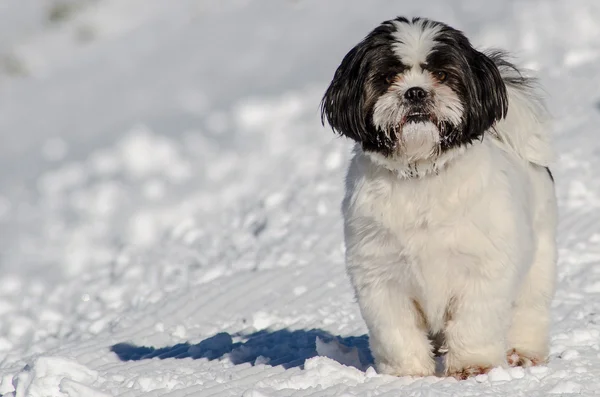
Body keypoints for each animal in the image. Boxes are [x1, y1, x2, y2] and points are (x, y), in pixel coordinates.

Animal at [322, 17, 556, 378]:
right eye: (387, 77)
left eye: (443, 75)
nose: (416, 91)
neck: (421, 174)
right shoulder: (380, 276)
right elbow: (396, 331)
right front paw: (407, 374)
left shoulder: (482, 270)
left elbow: (474, 323)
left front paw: (473, 366)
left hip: (538, 261)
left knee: (529, 309)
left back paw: (523, 352)